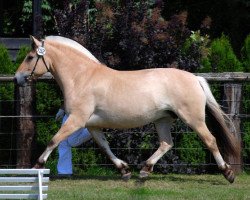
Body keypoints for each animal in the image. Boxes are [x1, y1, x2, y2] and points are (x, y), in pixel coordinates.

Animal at [14, 35, 240, 183]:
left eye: (30, 57)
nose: (17, 79)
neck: (82, 77)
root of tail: (195, 78)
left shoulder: (76, 120)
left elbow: (54, 140)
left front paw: (36, 166)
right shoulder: (91, 125)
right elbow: (105, 147)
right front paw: (124, 170)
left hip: (193, 119)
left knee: (210, 140)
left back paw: (228, 173)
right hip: (162, 120)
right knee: (166, 143)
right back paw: (145, 170)